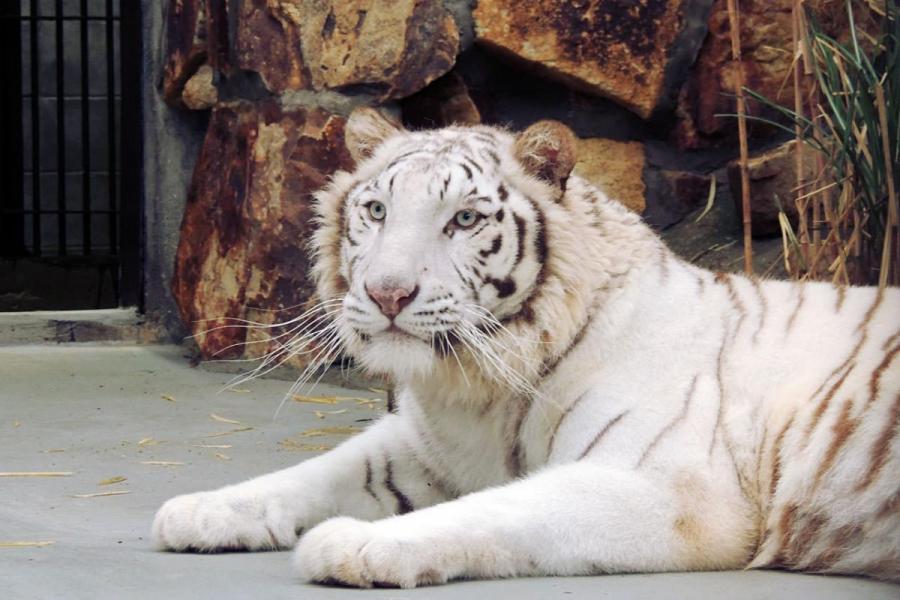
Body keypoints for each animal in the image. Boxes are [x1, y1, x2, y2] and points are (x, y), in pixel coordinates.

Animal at [155, 108, 900, 584]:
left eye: (463, 219)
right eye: (376, 211)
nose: (388, 293)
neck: (483, 387)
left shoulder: (673, 493)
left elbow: (493, 511)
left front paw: (350, 544)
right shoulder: (424, 446)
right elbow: (316, 473)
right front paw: (197, 508)